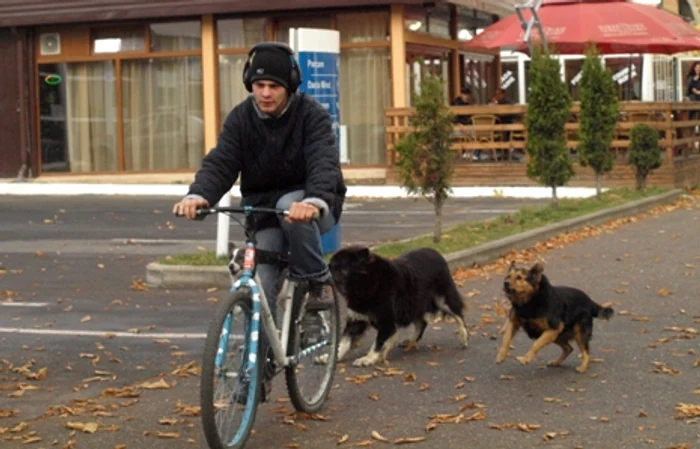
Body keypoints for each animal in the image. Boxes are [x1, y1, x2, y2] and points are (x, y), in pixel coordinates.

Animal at [326, 245, 468, 368]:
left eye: (335, 266)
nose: (324, 268)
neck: (365, 281)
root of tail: (435, 252)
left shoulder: (387, 322)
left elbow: (378, 342)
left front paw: (368, 358)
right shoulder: (358, 319)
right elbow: (344, 341)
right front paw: (330, 357)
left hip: (442, 300)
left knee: (459, 316)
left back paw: (464, 338)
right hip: (413, 305)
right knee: (421, 323)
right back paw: (411, 341)